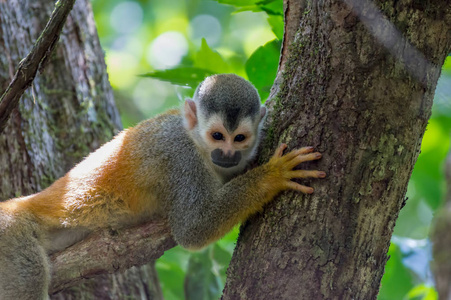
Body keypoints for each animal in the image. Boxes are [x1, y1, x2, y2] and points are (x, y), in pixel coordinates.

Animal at [0, 74, 324, 298]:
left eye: (240, 138)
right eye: (218, 136)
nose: (227, 154)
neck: (195, 141)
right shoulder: (181, 157)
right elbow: (194, 228)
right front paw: (273, 175)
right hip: (11, 235)